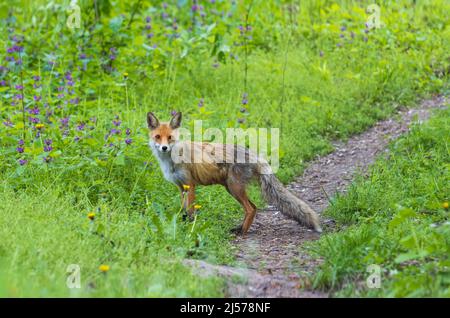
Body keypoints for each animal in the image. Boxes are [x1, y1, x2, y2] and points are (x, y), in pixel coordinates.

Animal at [147, 111, 320, 234]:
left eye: (170, 137)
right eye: (158, 137)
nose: (164, 148)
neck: (172, 160)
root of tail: (254, 154)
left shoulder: (190, 185)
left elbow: (190, 211)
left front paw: (190, 228)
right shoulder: (181, 187)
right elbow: (183, 210)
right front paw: (182, 224)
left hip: (234, 188)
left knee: (251, 209)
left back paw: (242, 232)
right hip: (232, 189)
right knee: (254, 207)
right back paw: (240, 228)